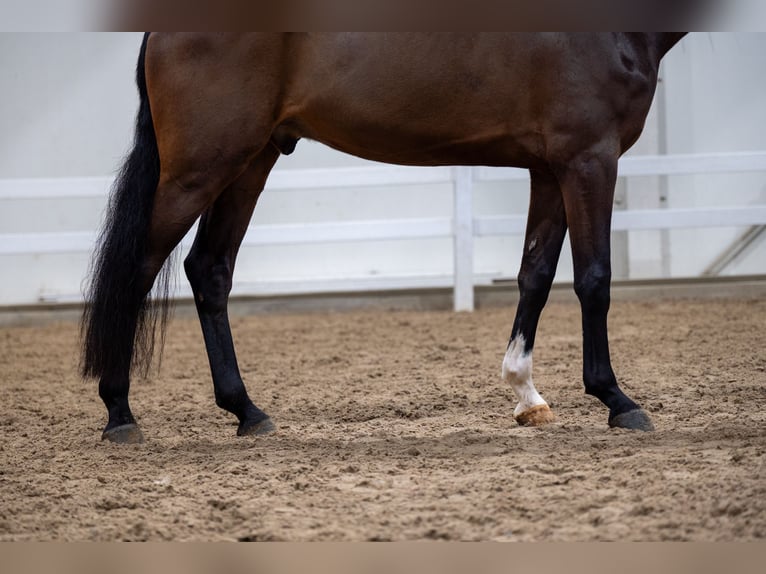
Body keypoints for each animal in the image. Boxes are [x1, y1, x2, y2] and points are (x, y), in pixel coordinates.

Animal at [81, 32, 688, 446]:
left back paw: (247, 412)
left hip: (249, 162)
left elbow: (534, 277)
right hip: (200, 169)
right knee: (137, 267)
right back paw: (120, 414)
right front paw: (616, 399)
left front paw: (526, 396)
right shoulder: (589, 157)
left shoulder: (550, 167)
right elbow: (594, 280)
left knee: (209, 270)